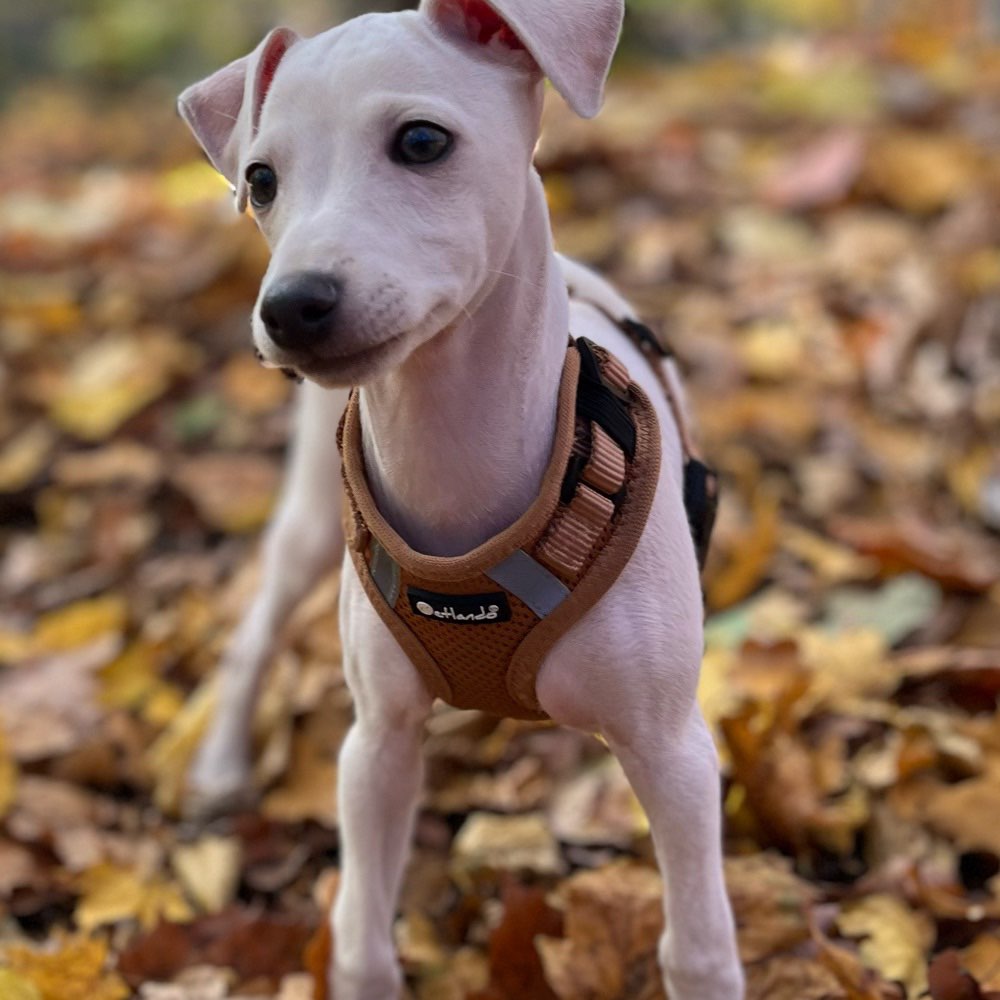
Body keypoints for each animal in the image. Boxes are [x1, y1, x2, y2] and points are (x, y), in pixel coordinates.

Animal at [178, 3, 744, 996]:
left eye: (421, 140)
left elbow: (699, 947)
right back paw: (220, 765)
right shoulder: (376, 744)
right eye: (259, 180)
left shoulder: (673, 749)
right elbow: (362, 939)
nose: (291, 307)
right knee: (256, 628)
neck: (460, 467)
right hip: (311, 522)